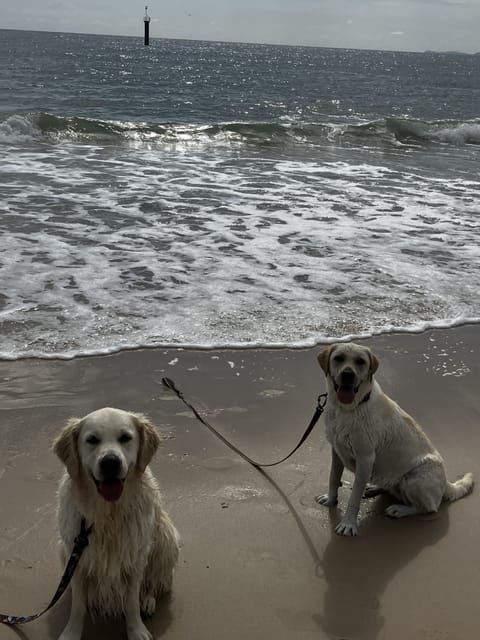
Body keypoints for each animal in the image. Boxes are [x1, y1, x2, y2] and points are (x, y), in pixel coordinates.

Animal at [53, 408, 180, 640]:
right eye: (92, 440)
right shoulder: (78, 558)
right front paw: (71, 633)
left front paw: (137, 631)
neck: (108, 513)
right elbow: (78, 605)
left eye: (125, 438)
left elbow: (131, 602)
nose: (110, 462)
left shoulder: (135, 557)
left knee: (153, 582)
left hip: (166, 538)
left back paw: (147, 602)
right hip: (63, 550)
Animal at [316, 344, 472, 536]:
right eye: (338, 358)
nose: (347, 374)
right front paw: (331, 499)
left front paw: (348, 523)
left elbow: (354, 498)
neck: (346, 409)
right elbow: (333, 477)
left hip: (415, 478)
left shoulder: (365, 458)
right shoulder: (336, 450)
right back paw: (374, 487)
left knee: (430, 507)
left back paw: (399, 509)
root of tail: (446, 484)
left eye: (360, 361)